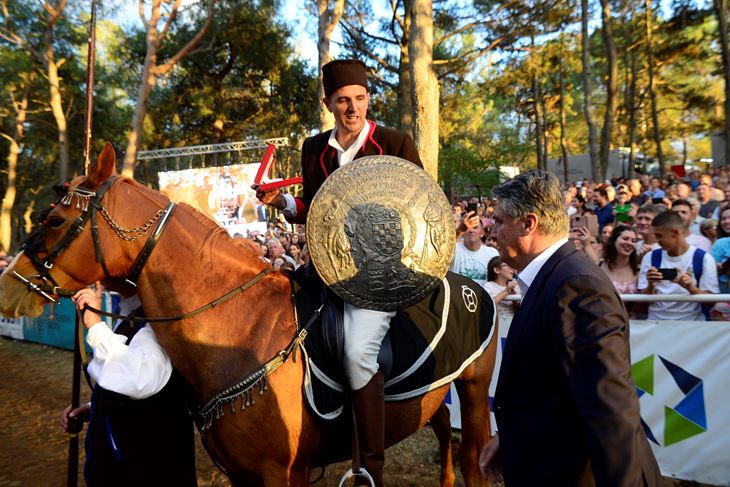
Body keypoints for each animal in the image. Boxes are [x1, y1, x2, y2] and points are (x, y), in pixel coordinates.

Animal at [0, 146, 494, 487]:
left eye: (55, 221)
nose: (7, 286)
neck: (242, 329)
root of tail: (471, 286)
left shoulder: (282, 474)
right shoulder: (242, 473)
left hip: (473, 394)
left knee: (472, 462)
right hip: (436, 397)